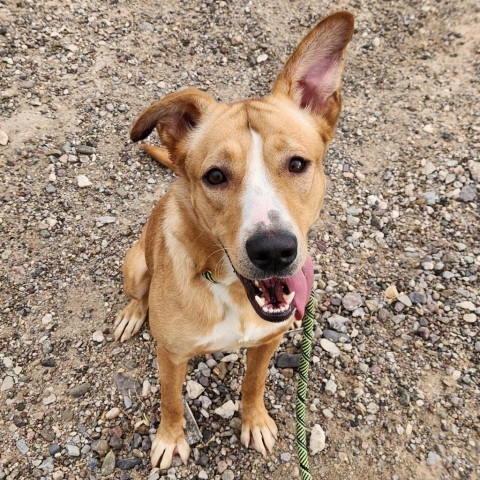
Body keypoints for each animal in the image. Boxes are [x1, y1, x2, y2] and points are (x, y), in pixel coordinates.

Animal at [112, 10, 352, 468]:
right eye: (215, 176)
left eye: (298, 164)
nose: (274, 251)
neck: (229, 289)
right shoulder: (171, 356)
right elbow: (171, 401)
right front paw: (170, 438)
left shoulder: (268, 341)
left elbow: (253, 384)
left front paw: (254, 421)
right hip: (134, 265)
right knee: (137, 292)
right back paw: (133, 313)